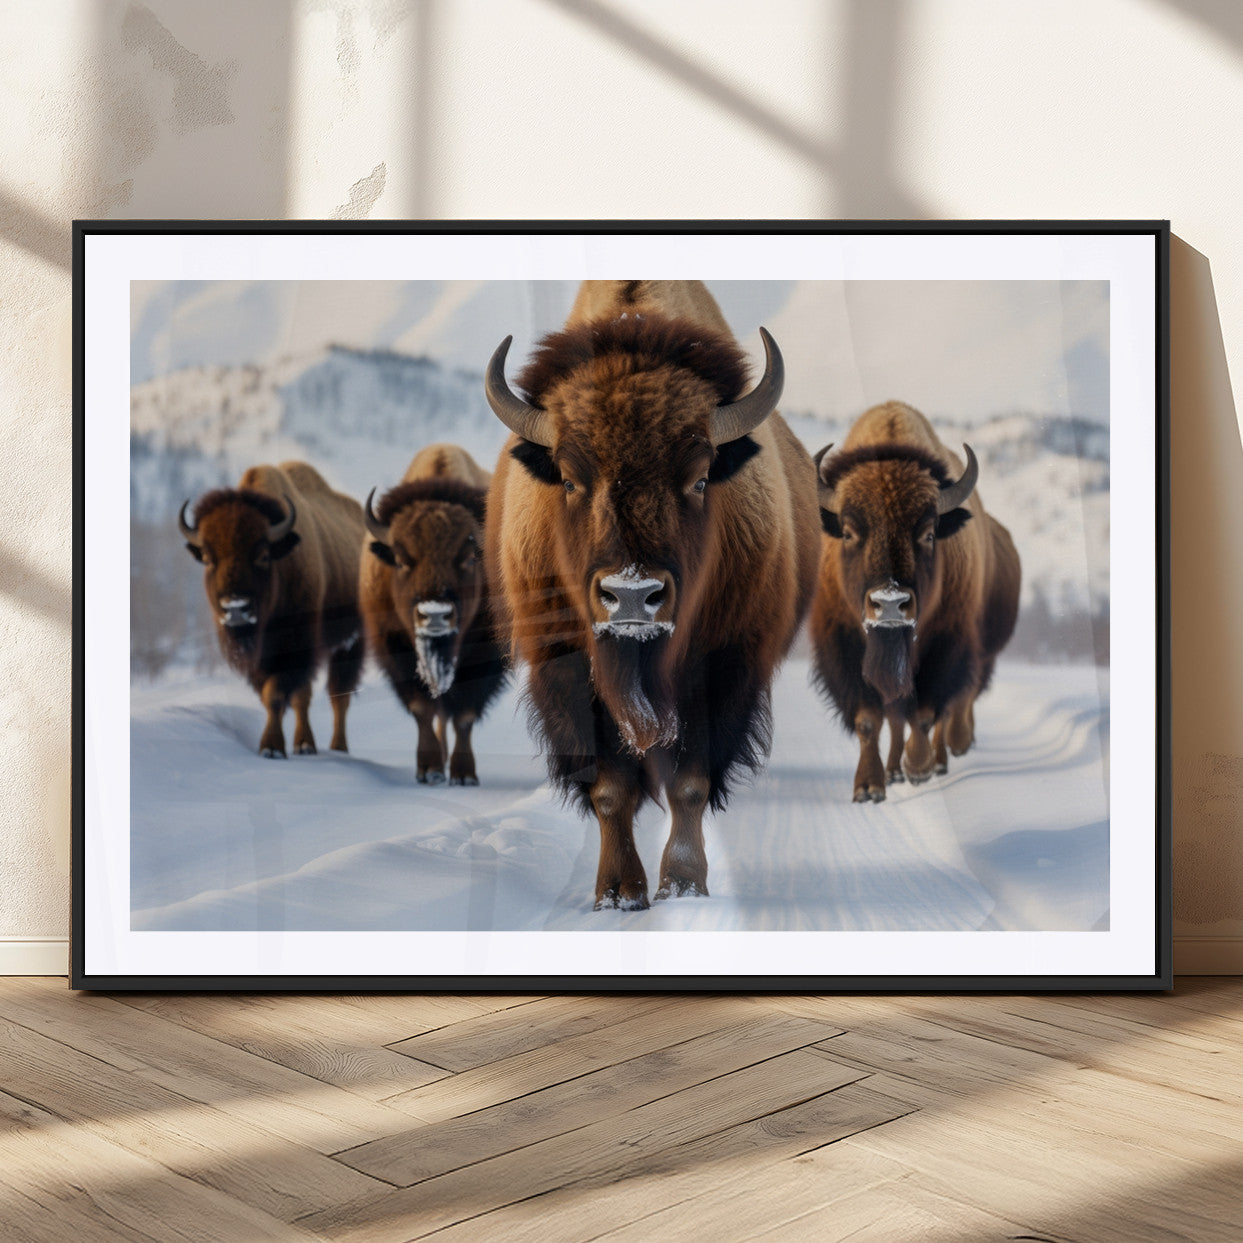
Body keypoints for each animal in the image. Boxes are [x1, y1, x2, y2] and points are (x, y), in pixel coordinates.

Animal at [179, 461, 366, 757]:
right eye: (208, 558)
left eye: (263, 555)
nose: (235, 609)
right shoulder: (260, 659)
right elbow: (276, 695)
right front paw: (279, 746)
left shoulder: (295, 648)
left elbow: (276, 694)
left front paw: (271, 748)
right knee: (310, 696)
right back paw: (306, 745)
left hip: (350, 643)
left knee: (339, 696)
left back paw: (337, 748)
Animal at [360, 444, 507, 784]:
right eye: (401, 560)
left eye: (469, 558)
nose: (435, 615)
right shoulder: (398, 651)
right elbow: (422, 710)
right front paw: (430, 770)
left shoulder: (484, 658)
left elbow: (464, 716)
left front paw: (464, 775)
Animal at [484, 280, 821, 909]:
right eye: (570, 479)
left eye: (699, 477)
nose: (633, 596)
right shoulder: (568, 673)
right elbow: (610, 790)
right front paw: (618, 893)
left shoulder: (723, 670)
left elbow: (690, 783)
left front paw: (683, 884)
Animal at [809, 402, 1021, 801]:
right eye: (849, 531)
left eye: (927, 533)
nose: (890, 603)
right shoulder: (843, 643)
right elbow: (869, 719)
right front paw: (869, 786)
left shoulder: (946, 642)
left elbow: (925, 713)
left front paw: (919, 767)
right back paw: (894, 771)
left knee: (941, 712)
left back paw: (934, 761)